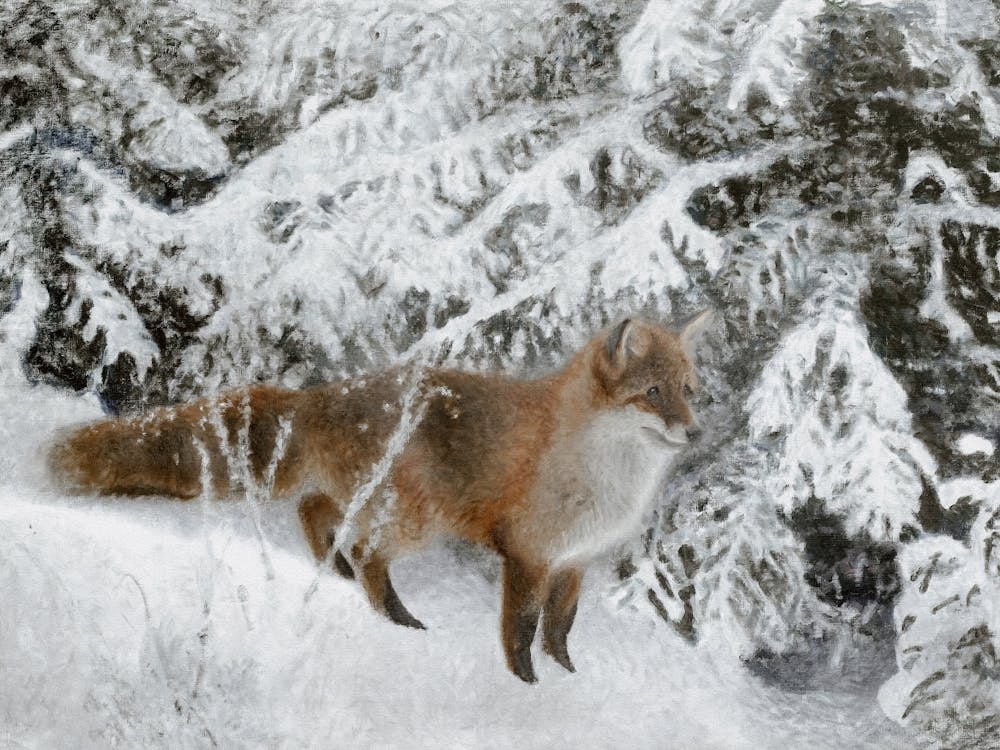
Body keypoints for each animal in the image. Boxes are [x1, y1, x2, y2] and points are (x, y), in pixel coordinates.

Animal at [49, 313, 712, 683]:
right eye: (652, 393)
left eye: (689, 390)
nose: (696, 432)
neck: (606, 473)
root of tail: (325, 394)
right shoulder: (529, 554)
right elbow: (522, 630)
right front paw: (526, 685)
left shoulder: (574, 563)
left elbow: (561, 630)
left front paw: (570, 677)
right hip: (415, 520)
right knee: (365, 553)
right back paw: (395, 617)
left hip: (375, 503)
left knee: (314, 511)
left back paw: (335, 571)